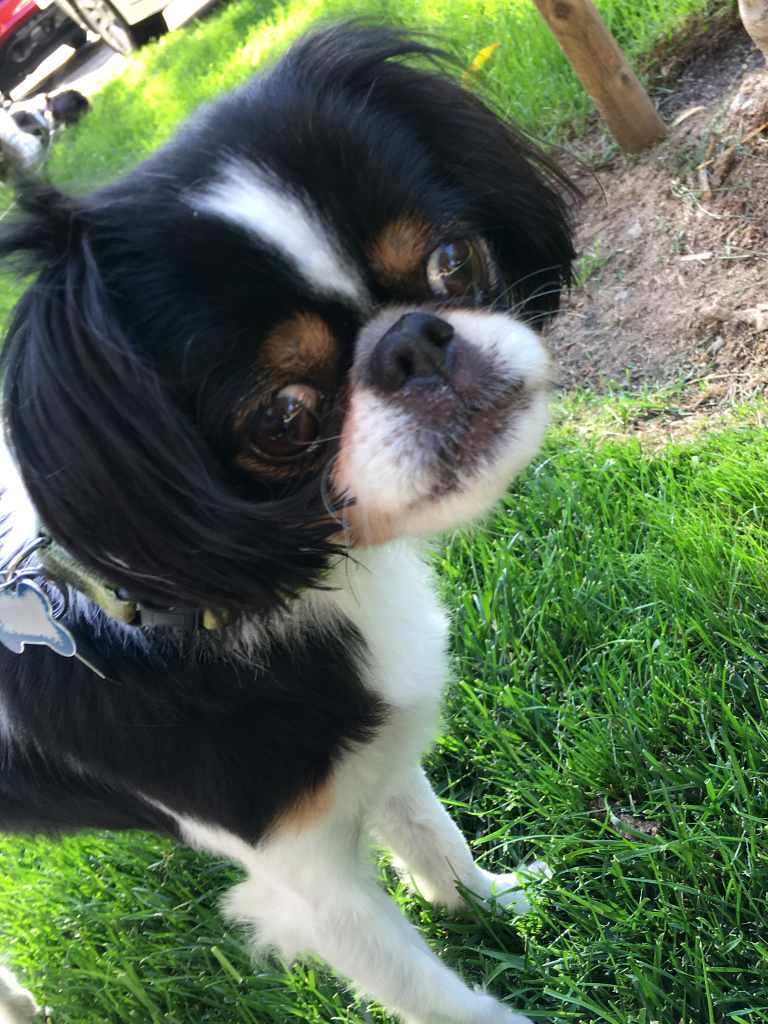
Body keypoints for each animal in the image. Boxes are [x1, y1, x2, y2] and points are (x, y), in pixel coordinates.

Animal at [0, 25, 574, 1024]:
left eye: (453, 261)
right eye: (285, 416)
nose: (414, 342)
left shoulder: (369, 749)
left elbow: (430, 835)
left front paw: (495, 904)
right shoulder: (309, 882)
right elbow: (431, 991)